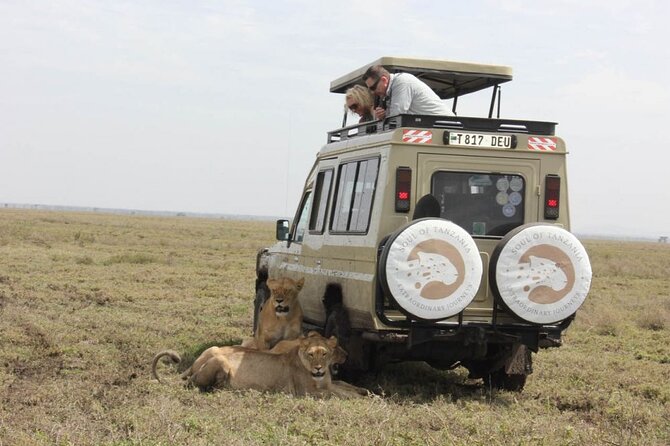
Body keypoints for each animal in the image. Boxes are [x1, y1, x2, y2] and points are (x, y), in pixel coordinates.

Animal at [151, 332, 368, 398]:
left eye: (325, 353)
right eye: (311, 354)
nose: (318, 368)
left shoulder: (329, 382)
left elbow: (344, 385)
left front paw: (364, 391)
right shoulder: (307, 392)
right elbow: (337, 393)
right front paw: (360, 397)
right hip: (220, 361)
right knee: (199, 385)